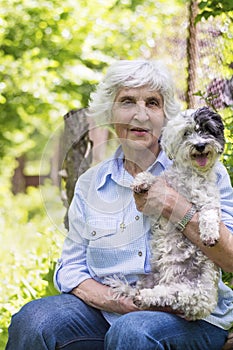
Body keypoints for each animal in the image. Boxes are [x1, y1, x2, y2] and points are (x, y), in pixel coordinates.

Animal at [106, 106, 225, 320]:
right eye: (187, 133)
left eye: (207, 130)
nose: (200, 145)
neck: (190, 176)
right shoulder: (165, 187)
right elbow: (155, 178)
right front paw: (141, 180)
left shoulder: (209, 200)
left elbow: (209, 214)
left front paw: (209, 234)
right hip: (151, 277)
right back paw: (136, 293)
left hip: (191, 294)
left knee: (167, 295)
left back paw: (145, 297)